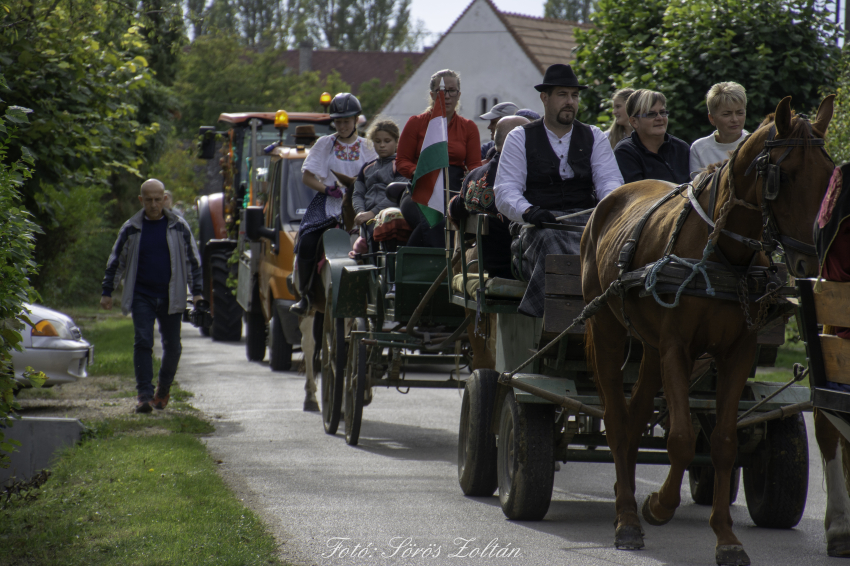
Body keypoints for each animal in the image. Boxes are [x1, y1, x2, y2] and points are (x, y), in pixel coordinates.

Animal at [580, 95, 832, 564]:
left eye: (828, 176)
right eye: (783, 176)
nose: (810, 261)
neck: (720, 253)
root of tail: (611, 200)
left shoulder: (737, 353)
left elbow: (723, 443)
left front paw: (727, 539)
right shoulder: (677, 347)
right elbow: (681, 438)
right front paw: (658, 505)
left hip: (650, 346)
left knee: (636, 417)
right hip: (607, 329)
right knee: (617, 419)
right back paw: (627, 518)